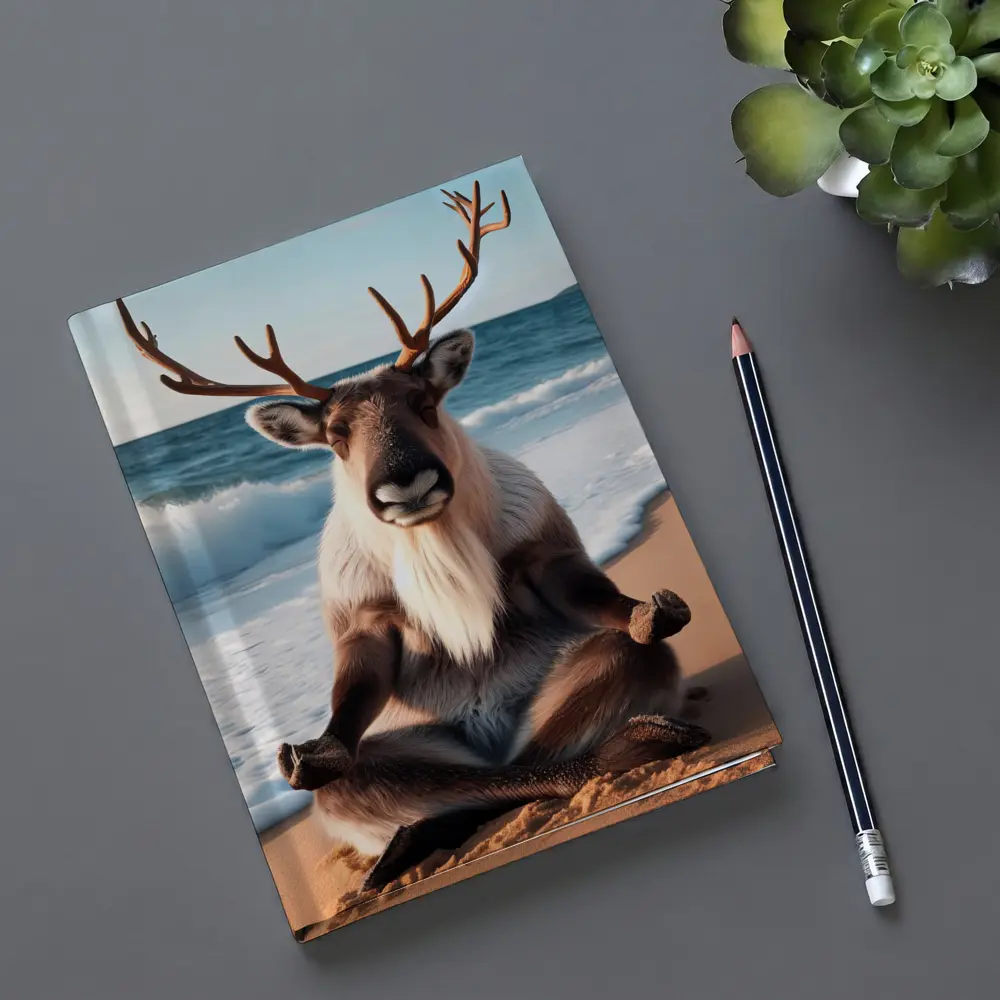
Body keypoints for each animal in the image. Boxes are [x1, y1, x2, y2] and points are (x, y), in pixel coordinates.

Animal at [116, 181, 709, 890]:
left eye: (424, 403)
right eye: (337, 435)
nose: (406, 482)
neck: (435, 550)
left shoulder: (544, 544)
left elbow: (595, 596)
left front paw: (649, 612)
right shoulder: (360, 617)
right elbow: (354, 689)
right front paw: (319, 751)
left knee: (545, 746)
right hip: (401, 761)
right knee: (446, 780)